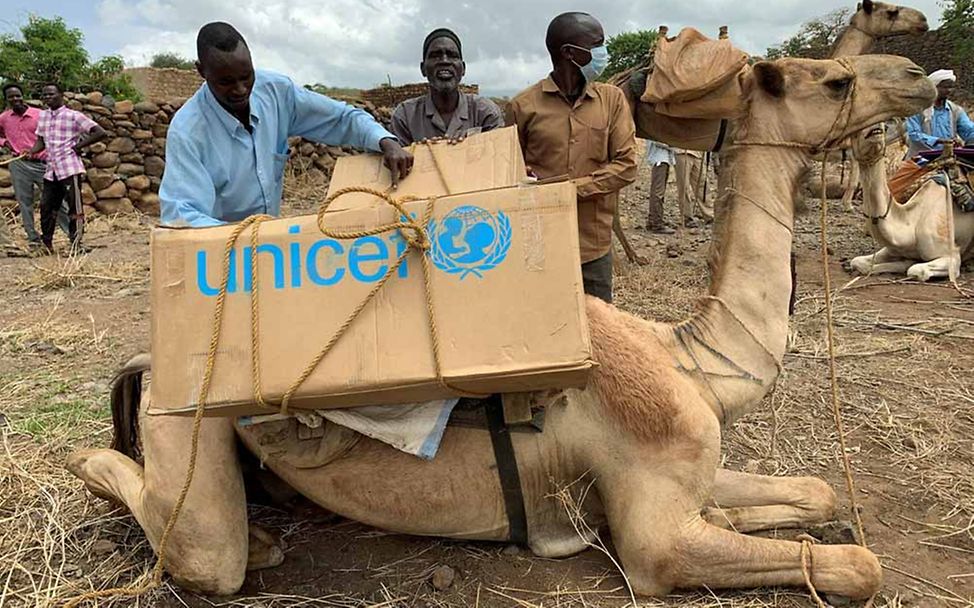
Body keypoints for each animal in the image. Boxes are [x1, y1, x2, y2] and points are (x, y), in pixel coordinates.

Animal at [66, 53, 936, 604]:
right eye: (835, 78)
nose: (921, 78)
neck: (690, 361)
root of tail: (153, 359)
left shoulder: (693, 472)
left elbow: (813, 488)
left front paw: (788, 510)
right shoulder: (655, 534)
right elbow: (856, 566)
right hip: (184, 435)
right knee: (191, 542)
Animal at [848, 129, 974, 282]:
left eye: (883, 130)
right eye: (854, 134)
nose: (874, 131)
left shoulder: (952, 256)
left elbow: (915, 270)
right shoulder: (892, 249)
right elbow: (857, 262)